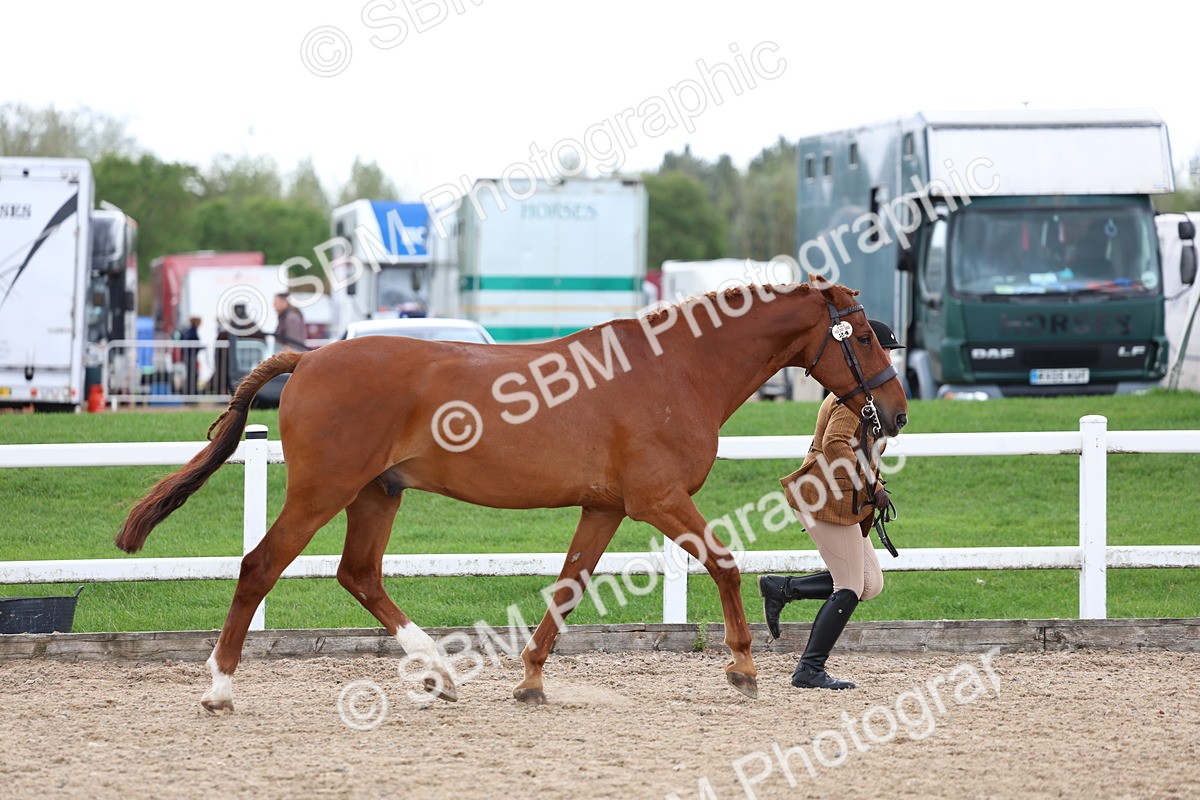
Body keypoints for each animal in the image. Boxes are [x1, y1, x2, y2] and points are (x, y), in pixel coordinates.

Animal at [115, 276, 908, 712]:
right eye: (866, 337)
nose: (895, 413)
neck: (675, 369)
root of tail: (306, 360)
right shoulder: (657, 500)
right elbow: (724, 563)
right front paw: (742, 667)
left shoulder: (606, 507)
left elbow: (567, 588)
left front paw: (529, 681)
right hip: (324, 490)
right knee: (260, 567)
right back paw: (219, 689)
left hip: (377, 494)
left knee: (359, 574)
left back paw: (437, 674)